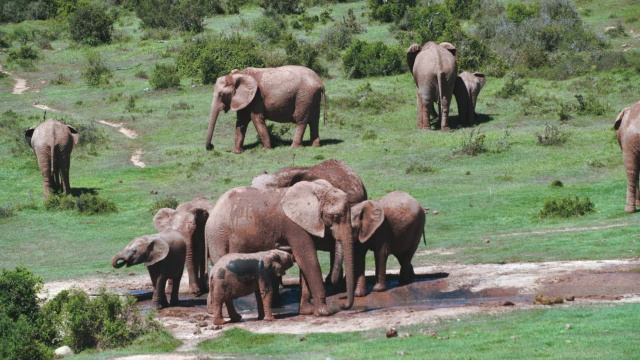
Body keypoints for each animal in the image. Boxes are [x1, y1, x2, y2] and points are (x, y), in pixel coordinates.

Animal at [205, 179, 356, 316]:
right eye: (336, 216)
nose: (343, 306)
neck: (317, 189)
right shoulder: (294, 226)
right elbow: (308, 259)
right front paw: (325, 312)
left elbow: (303, 263)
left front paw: (307, 311)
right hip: (218, 236)